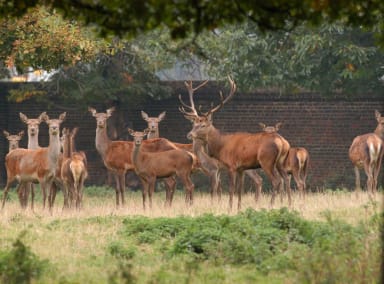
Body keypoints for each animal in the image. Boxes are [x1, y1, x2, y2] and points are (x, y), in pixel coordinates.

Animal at [180, 76, 292, 210]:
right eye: (194, 124)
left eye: (203, 125)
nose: (189, 134)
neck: (221, 146)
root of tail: (282, 142)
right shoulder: (241, 168)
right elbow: (239, 189)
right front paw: (238, 208)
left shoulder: (230, 165)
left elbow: (230, 189)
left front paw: (229, 208)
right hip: (280, 162)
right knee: (286, 178)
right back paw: (290, 204)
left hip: (266, 161)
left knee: (276, 181)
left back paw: (271, 205)